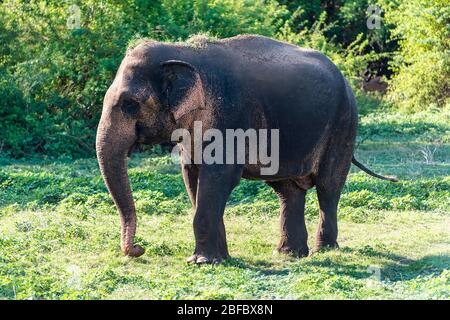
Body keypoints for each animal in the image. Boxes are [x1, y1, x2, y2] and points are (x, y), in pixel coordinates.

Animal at [96, 34, 398, 264]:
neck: (182, 51)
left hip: (344, 123)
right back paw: (288, 254)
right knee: (288, 190)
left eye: (130, 103)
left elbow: (219, 177)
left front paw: (202, 262)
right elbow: (192, 176)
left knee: (328, 188)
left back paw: (323, 251)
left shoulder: (230, 116)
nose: (138, 249)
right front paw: (219, 259)